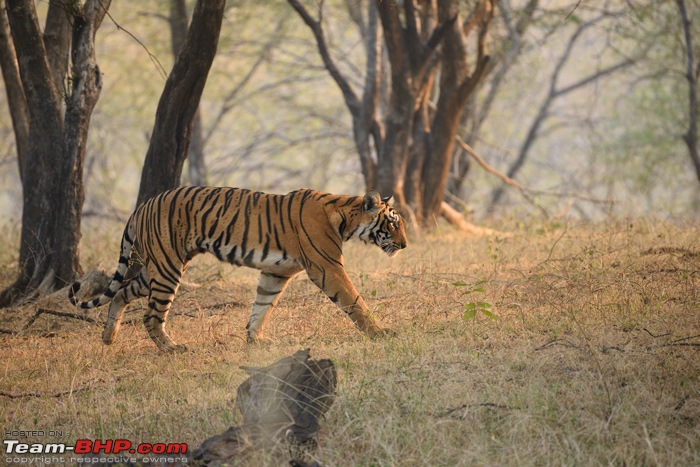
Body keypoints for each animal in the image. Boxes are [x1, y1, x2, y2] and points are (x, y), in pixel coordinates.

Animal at [68, 186, 408, 352]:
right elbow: (355, 301)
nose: (405, 246)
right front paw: (381, 333)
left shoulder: (276, 272)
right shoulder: (328, 267)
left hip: (155, 267)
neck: (346, 216)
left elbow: (262, 306)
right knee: (151, 315)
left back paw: (108, 338)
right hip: (167, 268)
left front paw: (255, 340)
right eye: (393, 224)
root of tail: (144, 203)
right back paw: (172, 348)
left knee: (120, 294)